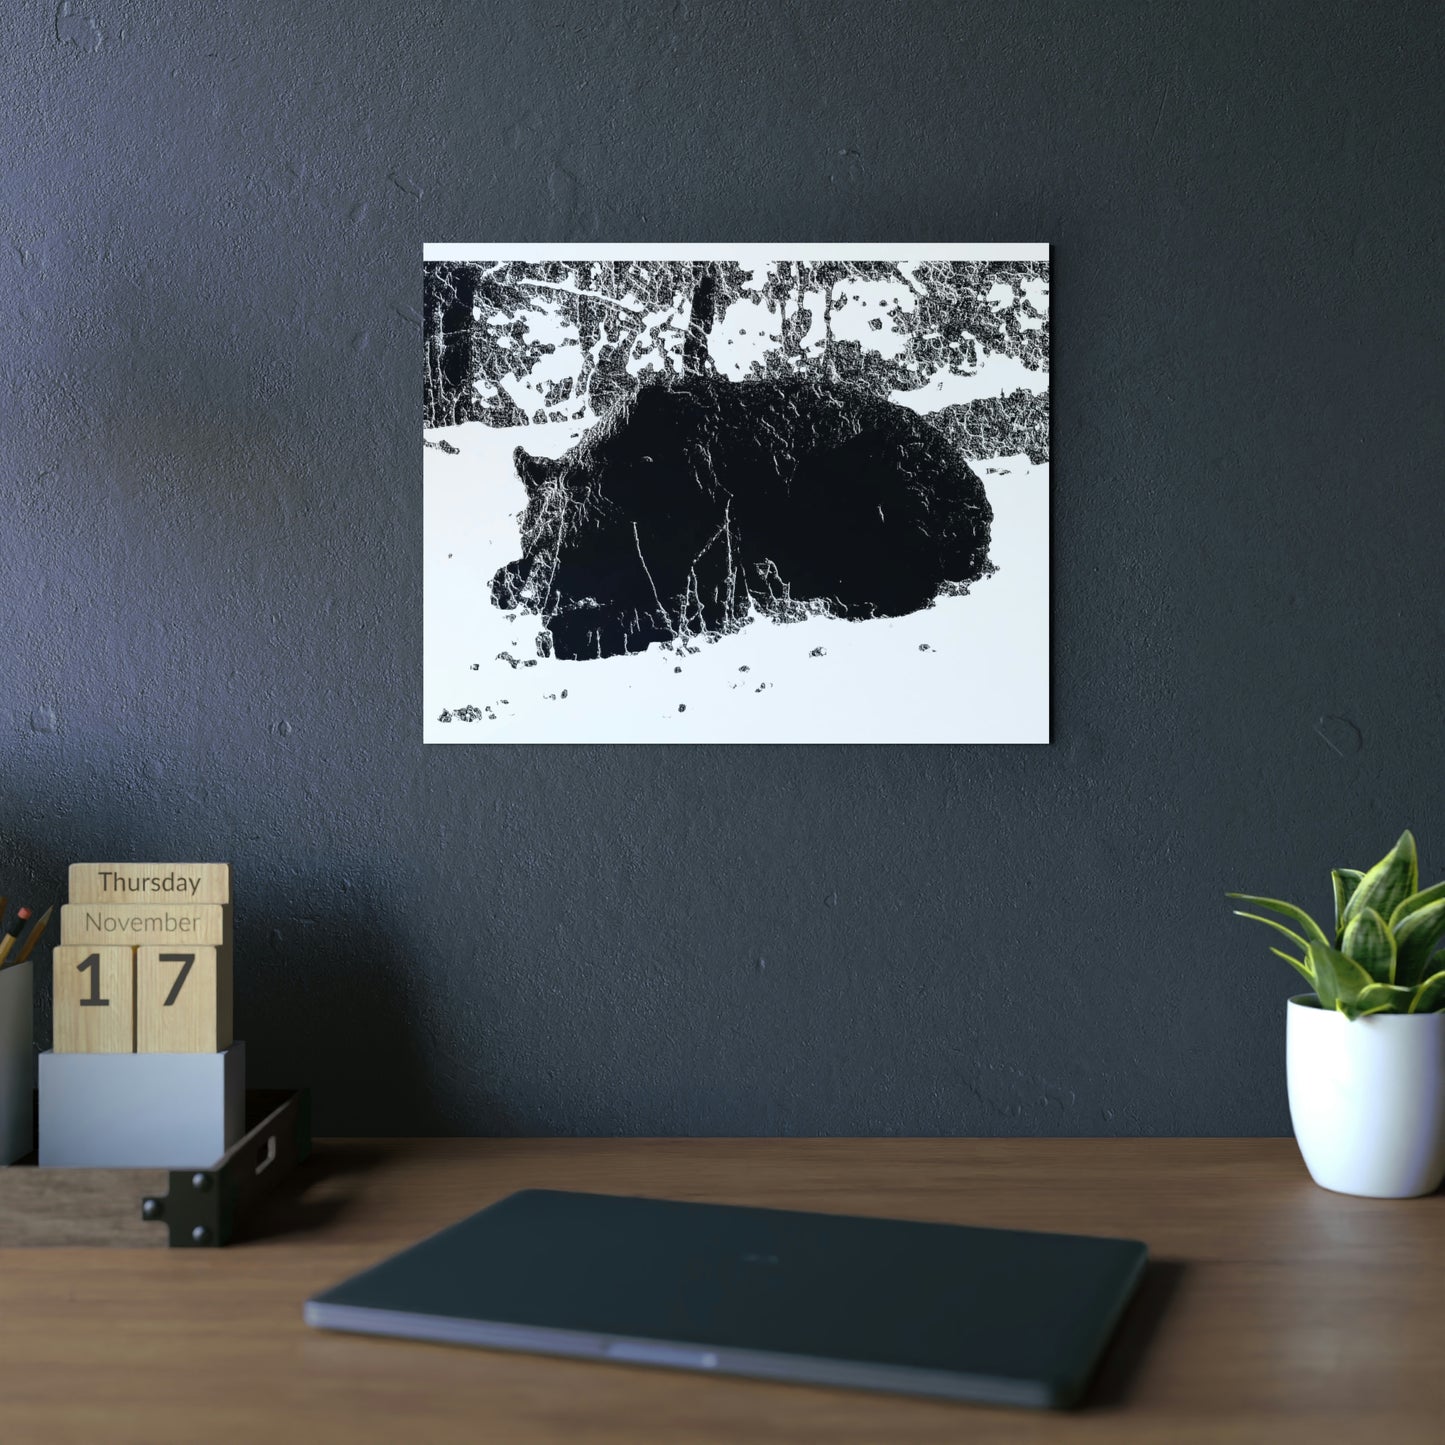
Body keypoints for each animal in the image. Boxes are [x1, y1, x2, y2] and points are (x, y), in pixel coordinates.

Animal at [490, 374, 993, 662]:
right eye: (535, 542)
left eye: (589, 545)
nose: (542, 599)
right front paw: (511, 586)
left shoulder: (712, 553)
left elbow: (671, 604)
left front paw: (574, 631)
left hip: (874, 488)